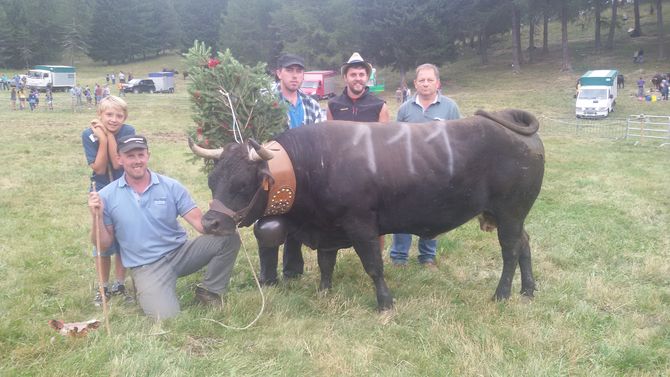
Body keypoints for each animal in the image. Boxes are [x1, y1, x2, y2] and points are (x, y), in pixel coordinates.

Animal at [189, 108, 544, 308]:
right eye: (212, 181)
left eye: (242, 185)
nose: (210, 223)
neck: (312, 165)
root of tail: (509, 121)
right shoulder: (328, 228)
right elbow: (326, 262)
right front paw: (324, 292)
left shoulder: (360, 225)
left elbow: (373, 265)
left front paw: (385, 303)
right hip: (512, 215)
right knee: (525, 244)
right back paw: (528, 291)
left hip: (510, 212)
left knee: (511, 250)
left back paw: (502, 295)